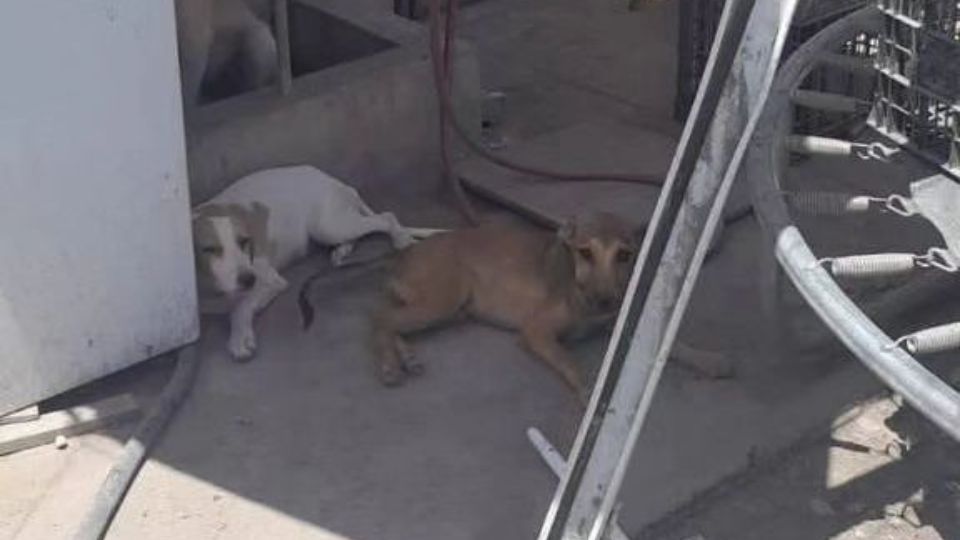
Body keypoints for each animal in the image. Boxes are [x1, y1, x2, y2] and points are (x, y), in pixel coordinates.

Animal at [191, 165, 428, 358]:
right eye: (209, 249)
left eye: (244, 241)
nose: (248, 280)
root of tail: (336, 182)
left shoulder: (270, 281)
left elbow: (241, 307)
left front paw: (239, 337)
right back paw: (342, 251)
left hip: (327, 226)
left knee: (386, 217)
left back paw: (400, 237)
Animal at [372, 213, 732, 402]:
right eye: (584, 252)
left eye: (624, 255)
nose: (605, 300)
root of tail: (404, 256)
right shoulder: (535, 331)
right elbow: (569, 360)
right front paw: (589, 388)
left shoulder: (620, 321)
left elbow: (672, 344)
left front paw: (707, 359)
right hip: (443, 300)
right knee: (381, 318)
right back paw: (389, 365)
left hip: (447, 308)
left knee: (391, 321)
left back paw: (408, 357)